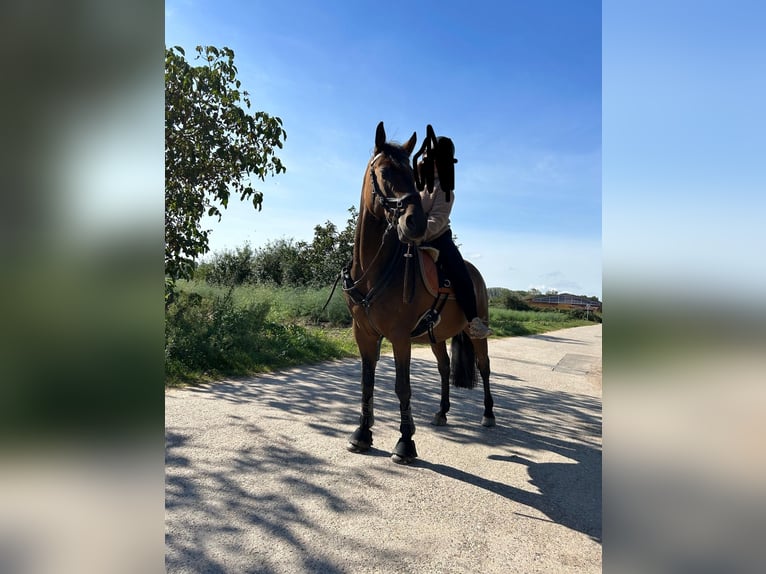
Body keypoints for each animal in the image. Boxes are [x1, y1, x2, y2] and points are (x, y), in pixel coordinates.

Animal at [344, 124, 498, 466]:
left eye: (413, 178)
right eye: (384, 171)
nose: (413, 222)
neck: (374, 270)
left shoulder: (400, 337)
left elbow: (402, 387)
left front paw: (405, 442)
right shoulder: (364, 334)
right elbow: (366, 382)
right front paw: (362, 434)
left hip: (476, 332)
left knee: (484, 367)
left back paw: (489, 415)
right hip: (436, 336)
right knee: (444, 368)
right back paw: (442, 412)